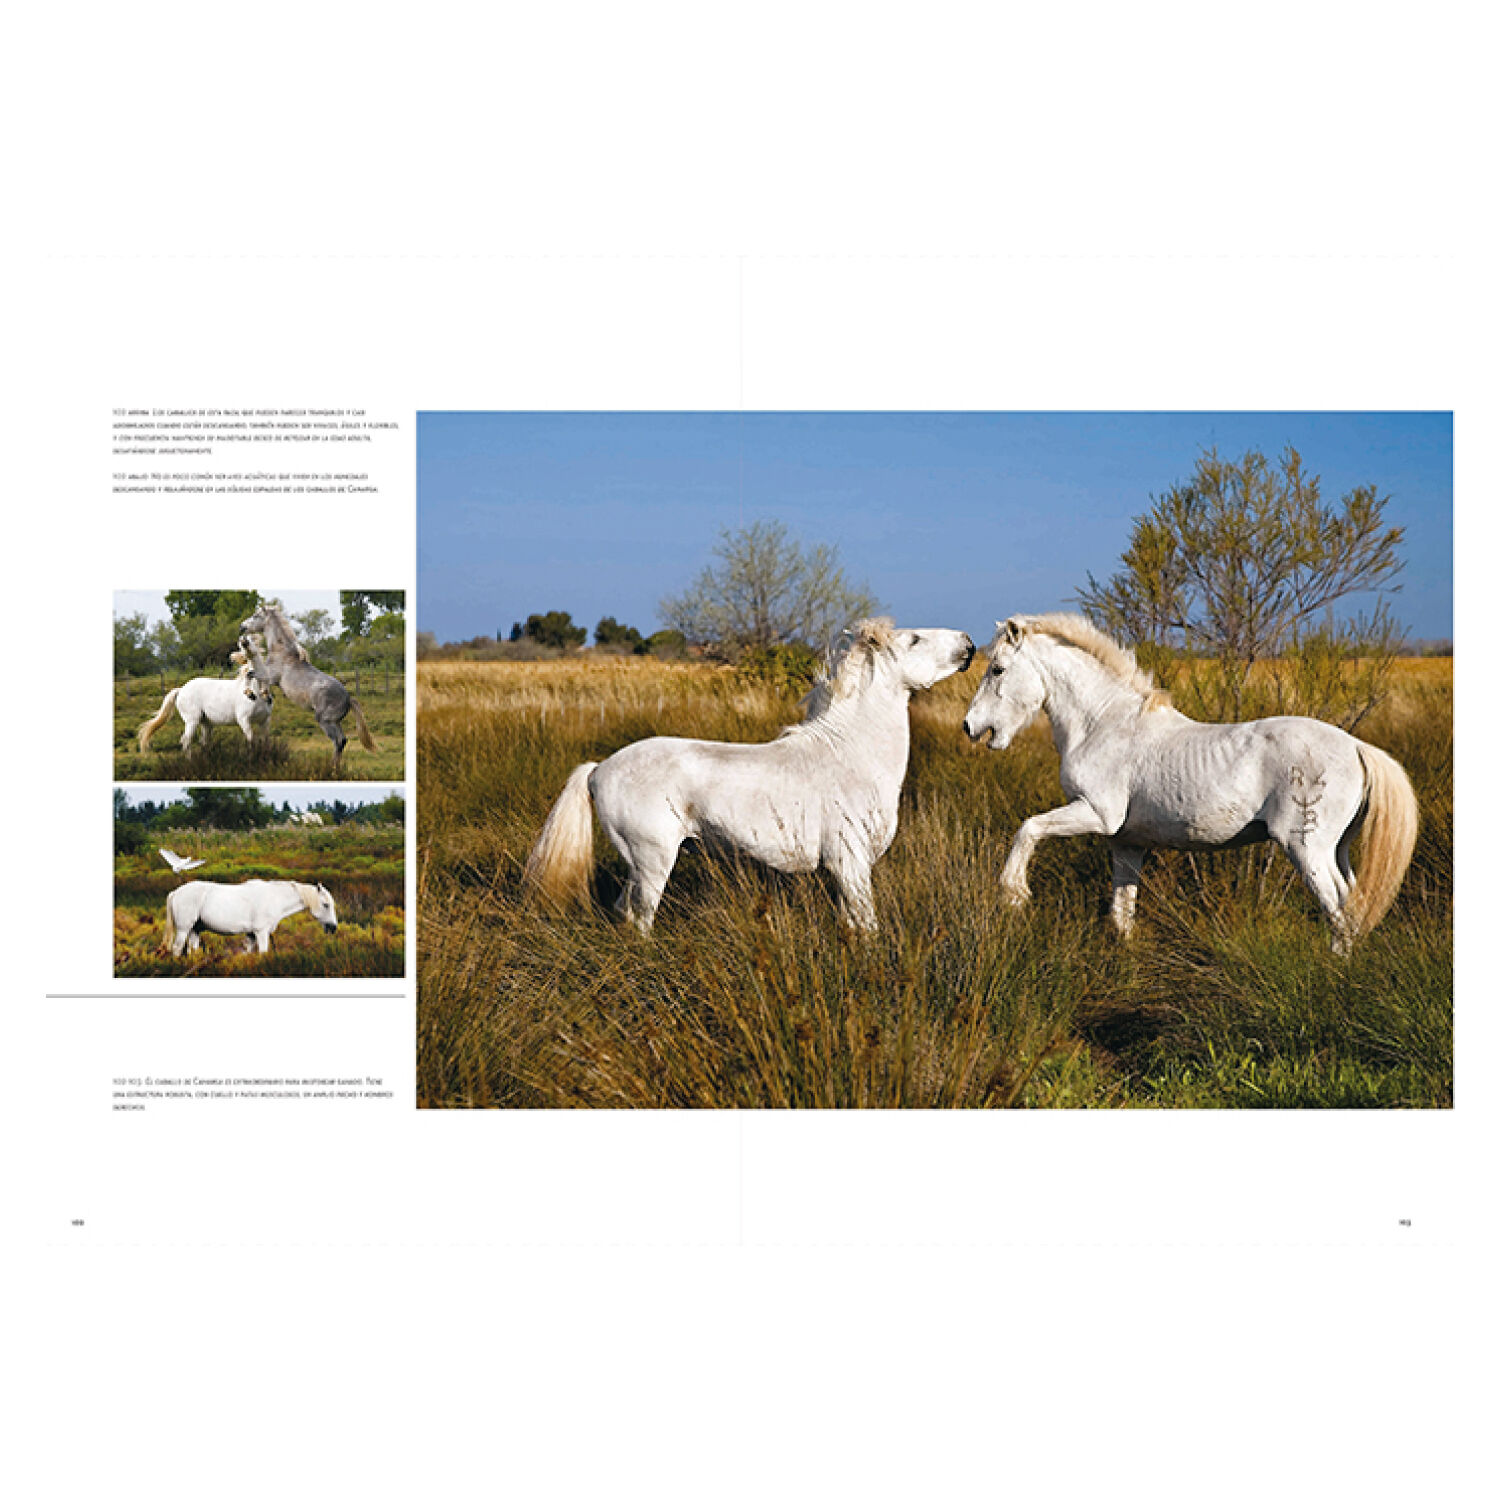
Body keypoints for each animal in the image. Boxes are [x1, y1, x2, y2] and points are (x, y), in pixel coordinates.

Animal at [137, 659, 274, 753]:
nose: (250, 673)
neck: (257, 697)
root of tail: (181, 690)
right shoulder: (244, 720)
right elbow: (250, 739)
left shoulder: (265, 721)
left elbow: (265, 740)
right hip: (192, 721)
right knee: (186, 741)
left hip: (206, 723)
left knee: (203, 742)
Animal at [164, 879, 339, 956]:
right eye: (326, 905)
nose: (333, 928)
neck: (274, 898)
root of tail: (176, 892)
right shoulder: (261, 933)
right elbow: (263, 953)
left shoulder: (251, 934)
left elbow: (247, 952)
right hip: (183, 929)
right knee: (177, 948)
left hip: (195, 930)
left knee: (192, 950)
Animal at [240, 603, 379, 772]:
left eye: (256, 615)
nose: (242, 626)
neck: (282, 651)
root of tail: (348, 699)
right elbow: (252, 676)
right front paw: (263, 695)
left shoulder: (269, 676)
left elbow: (250, 674)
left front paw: (251, 693)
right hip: (335, 722)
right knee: (343, 741)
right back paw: (336, 768)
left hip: (325, 721)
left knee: (338, 741)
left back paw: (331, 769)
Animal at [524, 619, 975, 933]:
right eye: (914, 639)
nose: (969, 644)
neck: (850, 757)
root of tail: (599, 770)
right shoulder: (849, 862)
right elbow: (867, 927)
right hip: (652, 860)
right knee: (639, 919)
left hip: (638, 865)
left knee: (622, 913)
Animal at [961, 613, 1419, 953]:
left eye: (998, 669)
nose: (970, 727)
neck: (1103, 724)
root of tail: (1357, 747)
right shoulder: (1126, 842)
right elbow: (1122, 914)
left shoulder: (1096, 814)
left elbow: (1029, 828)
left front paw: (1014, 894)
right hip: (1337, 849)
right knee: (1353, 906)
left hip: (1306, 848)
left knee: (1340, 915)